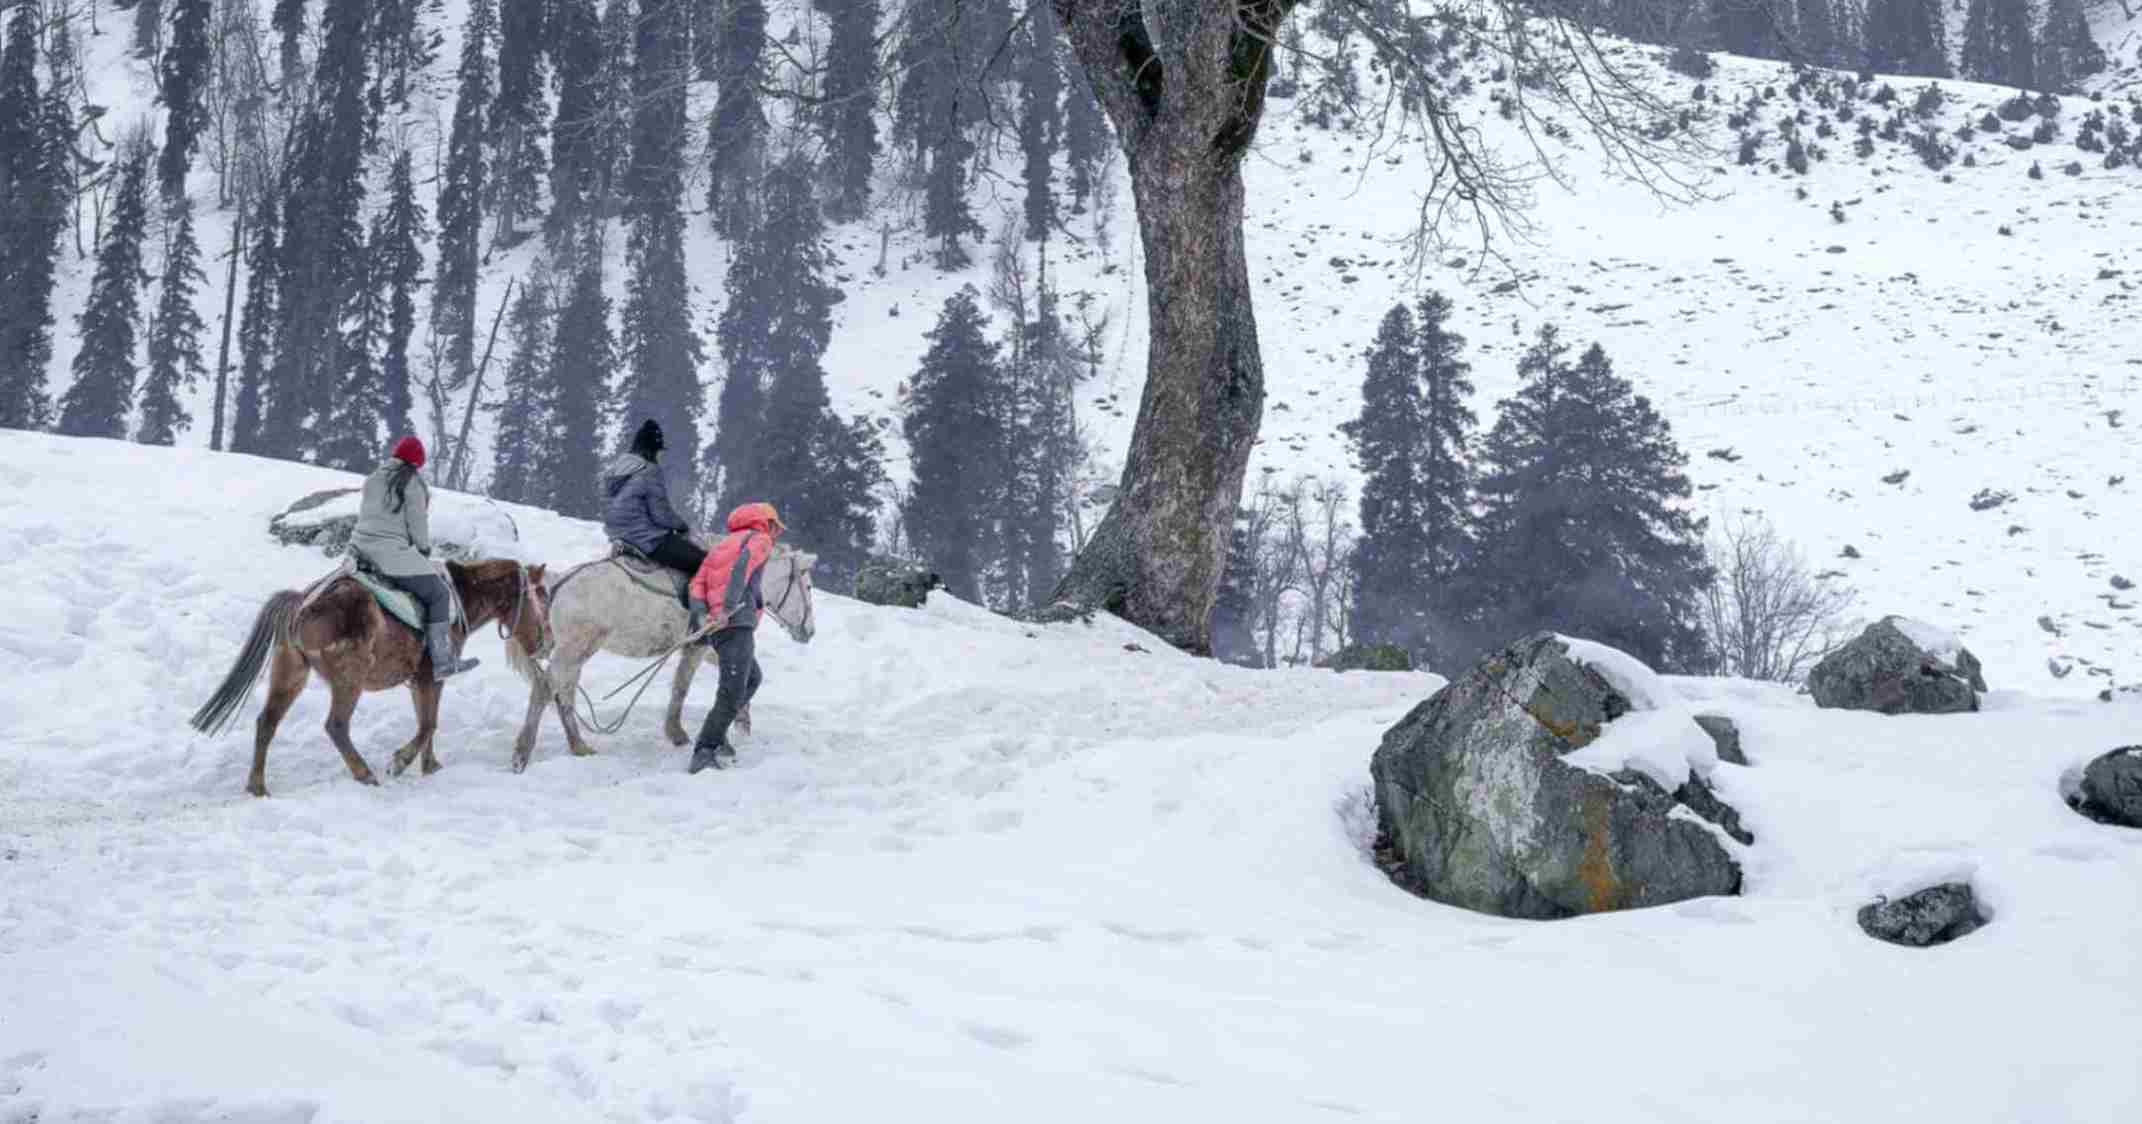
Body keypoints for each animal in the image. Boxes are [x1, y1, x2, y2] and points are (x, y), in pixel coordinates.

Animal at [189, 559, 553, 797]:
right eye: (543, 596)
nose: (548, 642)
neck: (459, 598)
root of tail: (302, 603)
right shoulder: (430, 678)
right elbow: (428, 724)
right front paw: (402, 761)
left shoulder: (420, 682)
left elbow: (427, 722)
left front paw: (430, 765)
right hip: (350, 678)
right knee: (336, 726)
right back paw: (364, 774)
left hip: (291, 674)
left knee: (267, 723)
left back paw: (257, 786)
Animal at [511, 544, 816, 772]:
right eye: (809, 587)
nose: (810, 631)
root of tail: (560, 582)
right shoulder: (697, 648)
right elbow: (682, 686)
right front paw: (677, 732)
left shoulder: (707, 647)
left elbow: (745, 674)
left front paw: (740, 724)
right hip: (574, 650)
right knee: (545, 688)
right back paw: (523, 752)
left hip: (575, 653)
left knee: (563, 693)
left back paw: (578, 745)